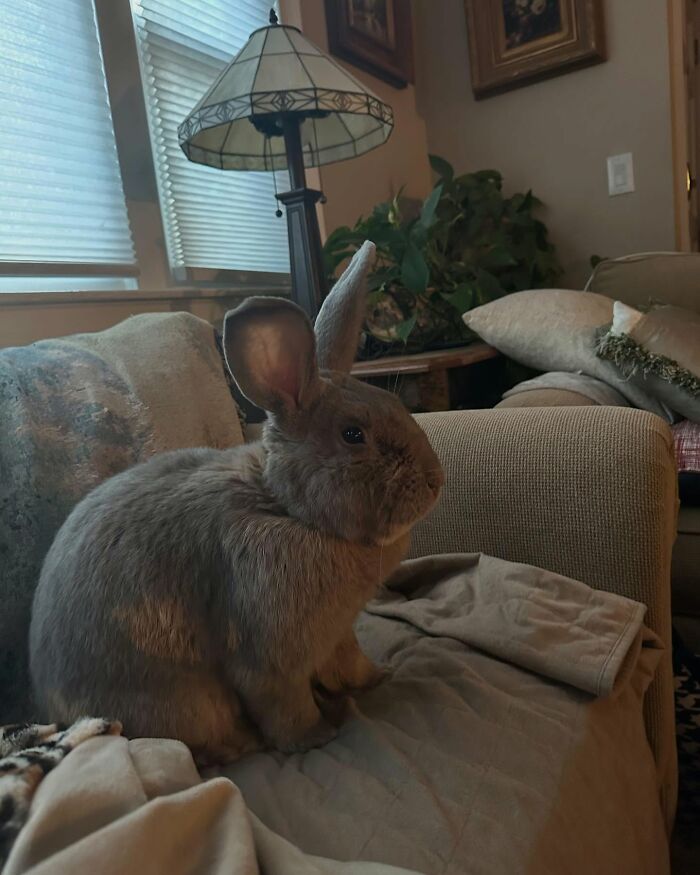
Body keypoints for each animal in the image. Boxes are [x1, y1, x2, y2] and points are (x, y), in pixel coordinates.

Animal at [29, 241, 444, 766]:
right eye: (353, 435)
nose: (435, 482)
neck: (286, 507)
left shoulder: (337, 634)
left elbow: (350, 661)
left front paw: (376, 679)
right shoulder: (270, 656)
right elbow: (283, 704)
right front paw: (315, 738)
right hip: (188, 705)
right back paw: (245, 744)